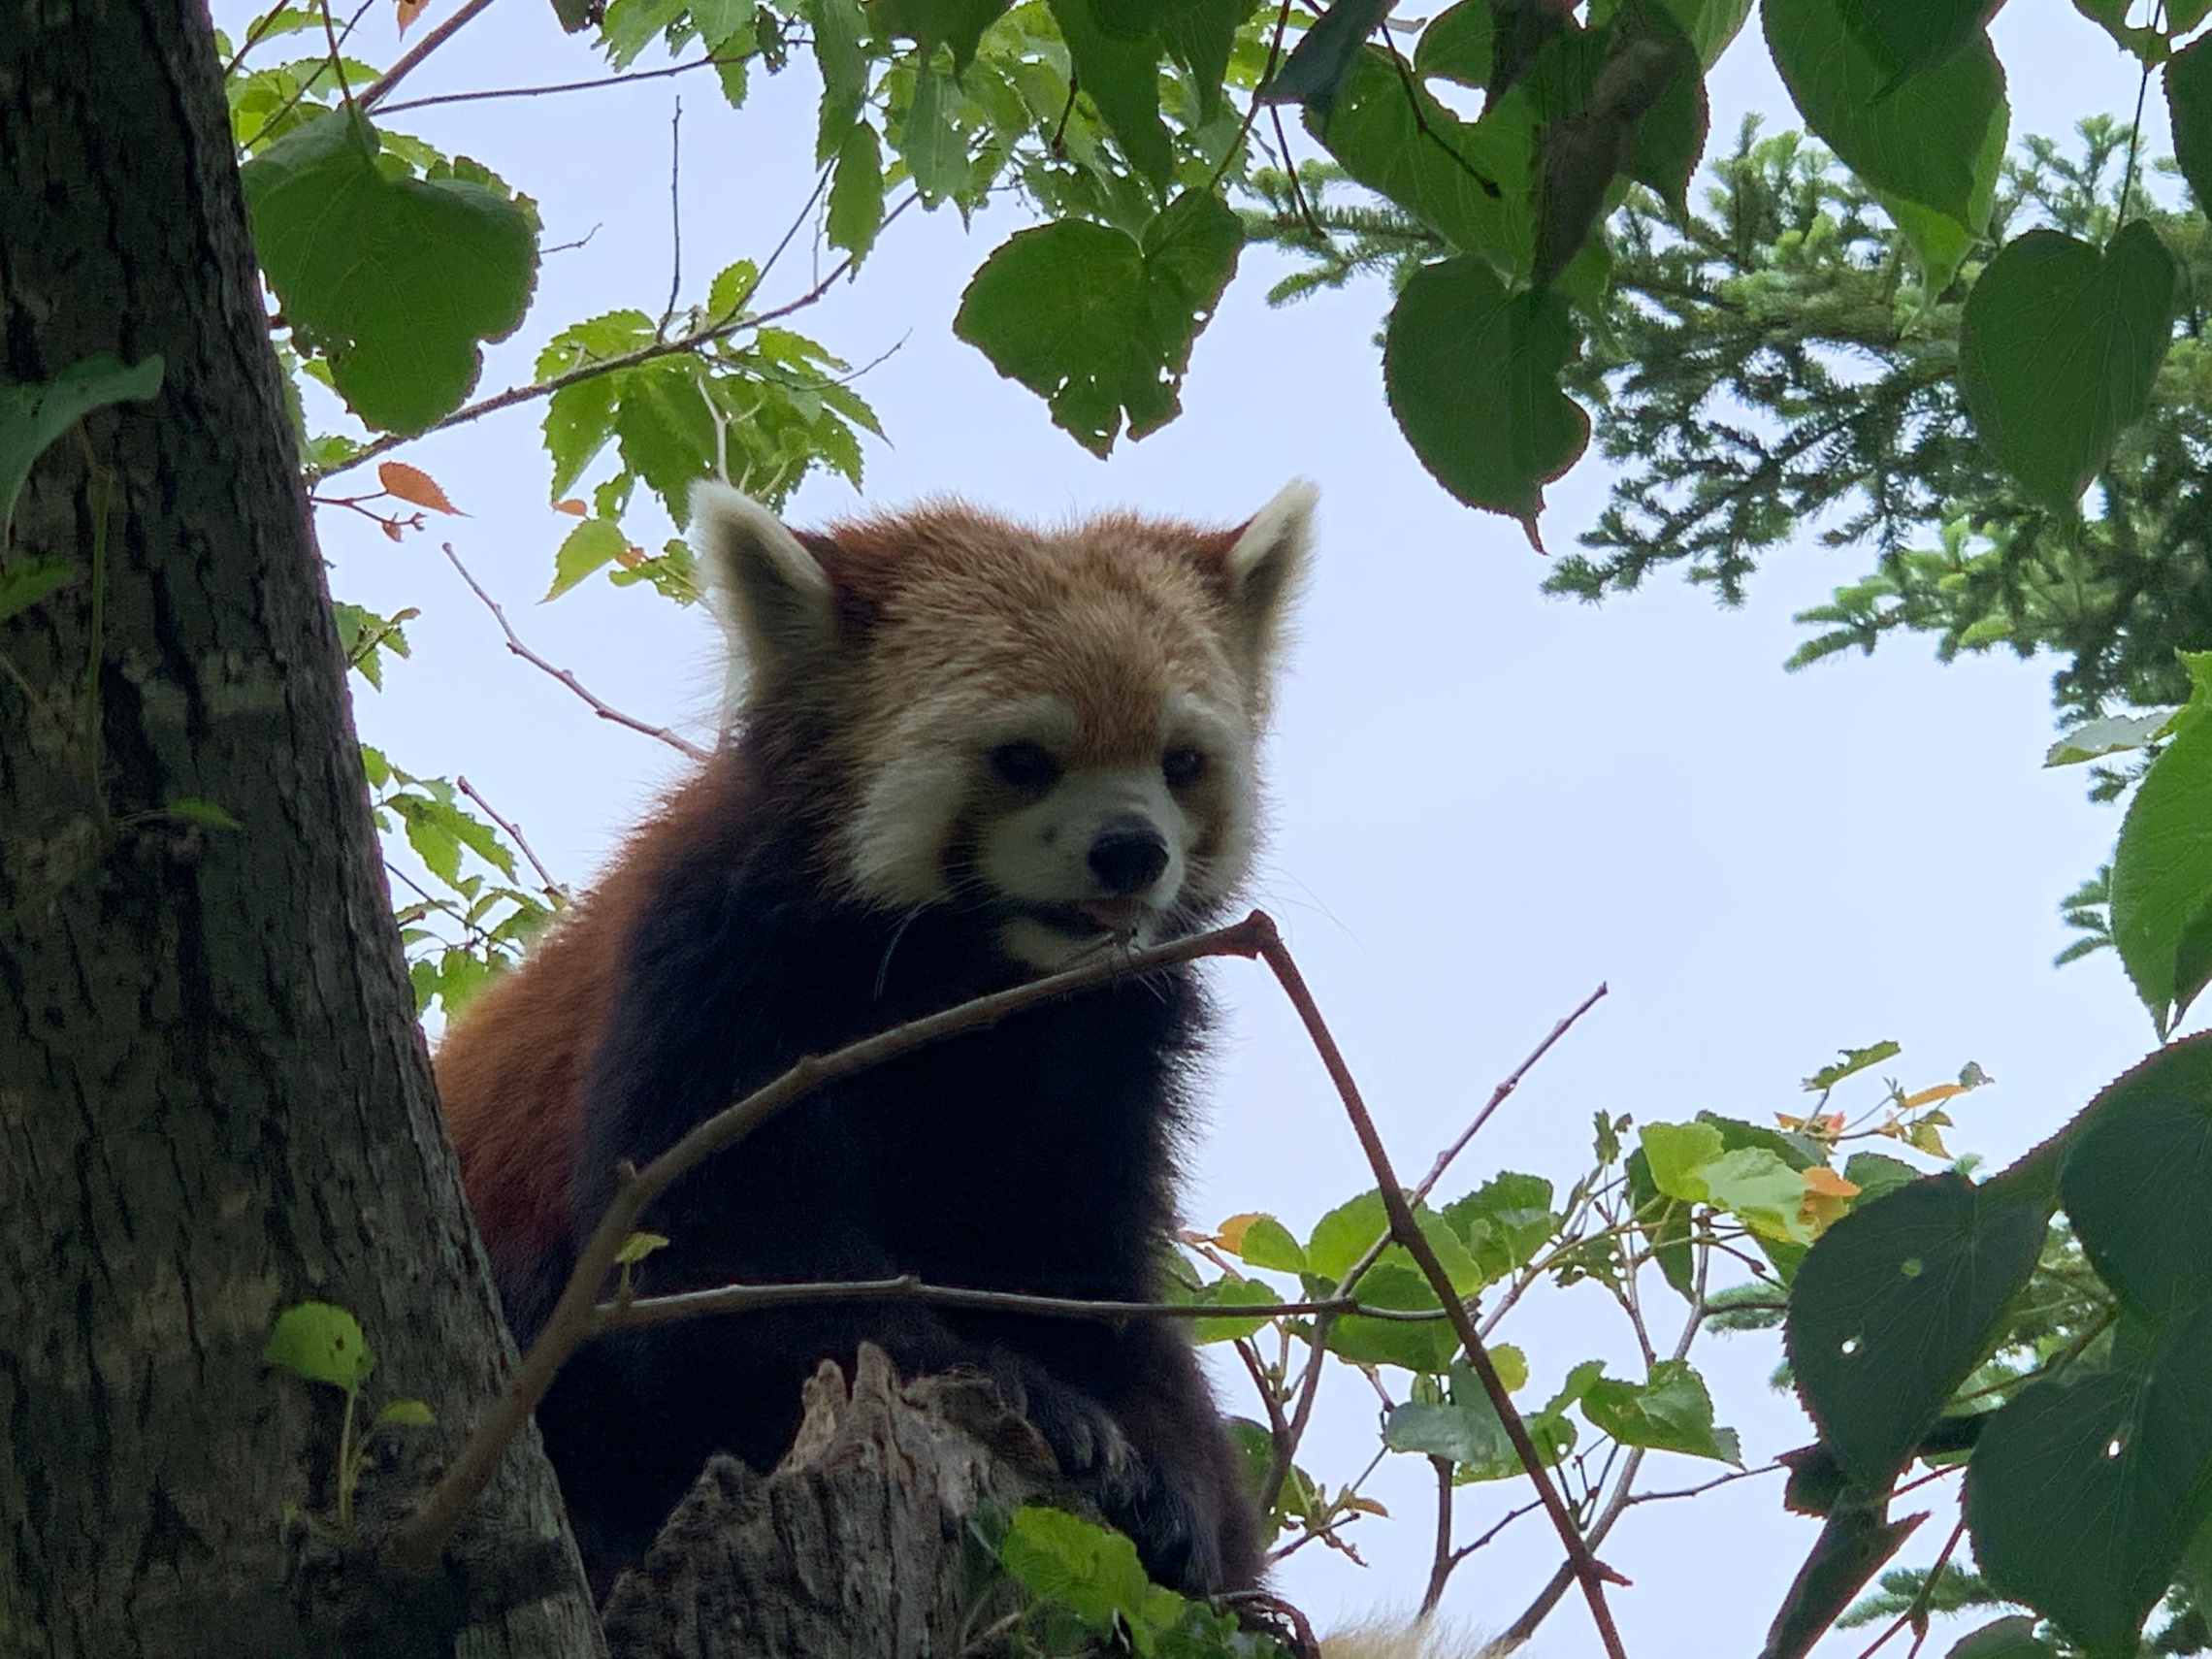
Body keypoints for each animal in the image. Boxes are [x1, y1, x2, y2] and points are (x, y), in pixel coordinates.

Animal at [439, 479, 1317, 1610]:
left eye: (1181, 763)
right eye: (1023, 761)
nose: (1132, 850)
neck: (975, 976)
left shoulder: (1107, 1047)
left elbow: (1088, 1277)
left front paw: (1173, 1486)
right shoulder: (713, 973)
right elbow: (720, 1266)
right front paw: (1029, 1392)